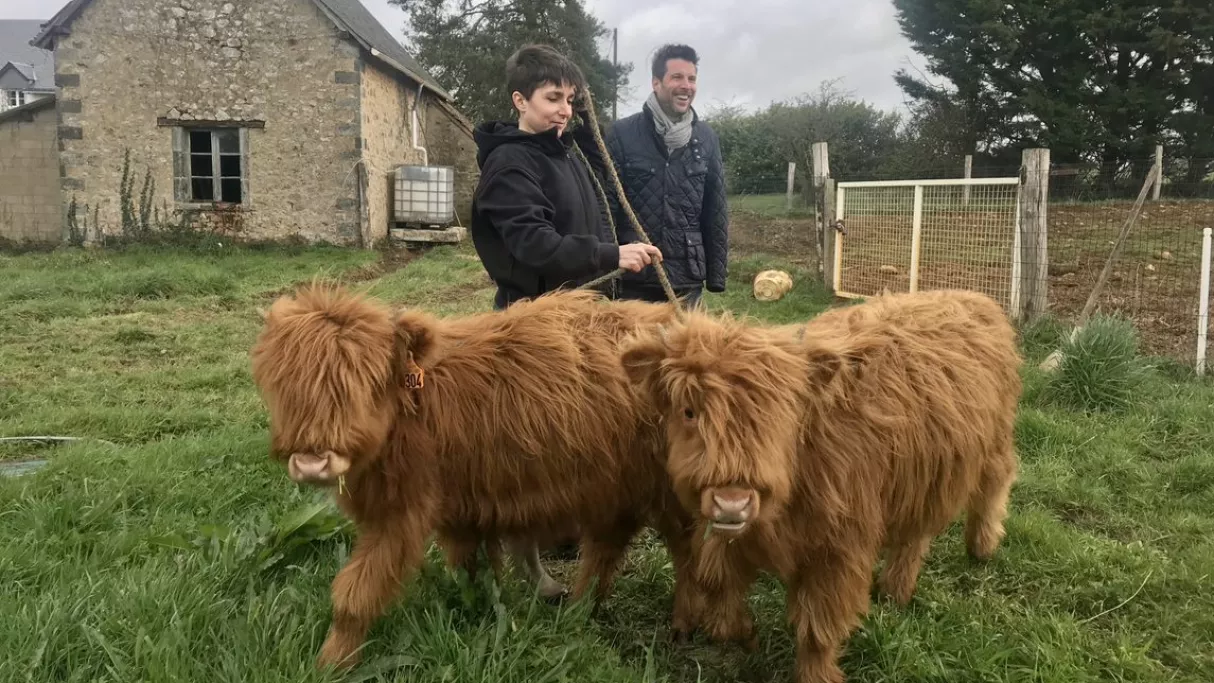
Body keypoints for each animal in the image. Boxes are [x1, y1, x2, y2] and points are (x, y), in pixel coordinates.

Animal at [249, 284, 697, 671]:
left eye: (368, 382)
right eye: (283, 385)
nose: (312, 463)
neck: (415, 408)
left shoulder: (402, 513)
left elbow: (356, 592)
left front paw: (331, 662)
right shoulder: (462, 507)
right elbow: (472, 566)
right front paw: (480, 604)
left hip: (665, 491)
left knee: (683, 550)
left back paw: (679, 624)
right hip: (613, 487)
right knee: (607, 545)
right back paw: (579, 607)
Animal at [617, 289, 1022, 683]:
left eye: (779, 415)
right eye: (689, 412)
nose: (732, 503)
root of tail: (976, 298)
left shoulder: (838, 549)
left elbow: (818, 628)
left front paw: (816, 674)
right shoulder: (723, 534)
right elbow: (719, 593)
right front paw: (745, 633)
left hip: (994, 441)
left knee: (995, 484)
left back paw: (982, 546)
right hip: (920, 474)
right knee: (915, 533)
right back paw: (896, 589)